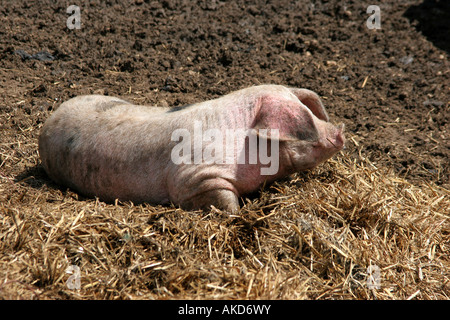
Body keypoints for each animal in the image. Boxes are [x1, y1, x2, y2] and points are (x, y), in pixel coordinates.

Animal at [39, 84, 348, 212]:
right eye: (303, 121)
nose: (340, 131)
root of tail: (47, 123)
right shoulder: (193, 177)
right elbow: (226, 202)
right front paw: (241, 214)